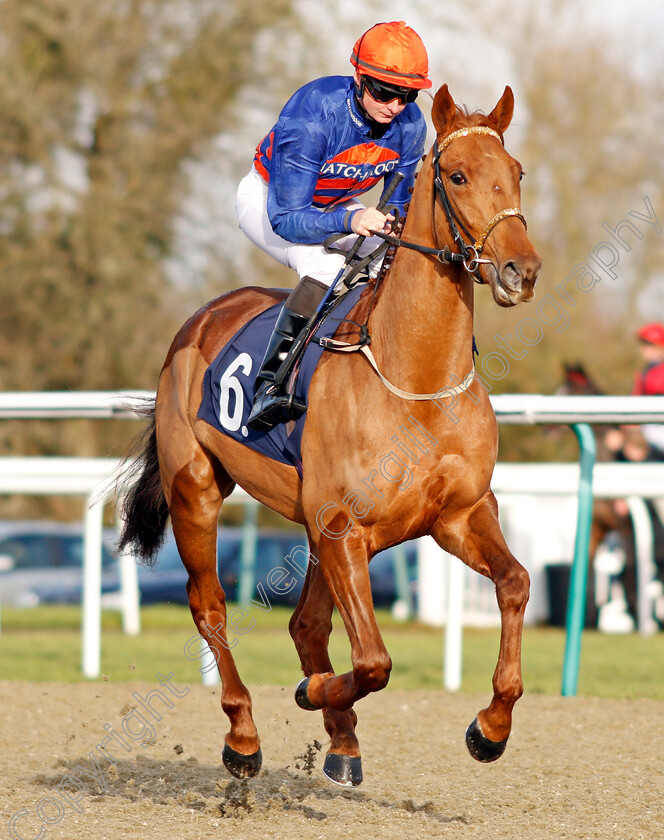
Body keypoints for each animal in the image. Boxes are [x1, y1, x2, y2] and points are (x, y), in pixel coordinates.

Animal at [119, 85, 544, 788]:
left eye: (516, 173)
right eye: (457, 177)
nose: (521, 271)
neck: (414, 380)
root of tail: (200, 319)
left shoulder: (457, 515)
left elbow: (515, 584)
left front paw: (491, 727)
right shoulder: (345, 528)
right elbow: (373, 660)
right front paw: (307, 693)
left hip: (313, 528)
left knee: (307, 624)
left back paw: (341, 742)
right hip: (197, 492)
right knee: (211, 607)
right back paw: (243, 735)